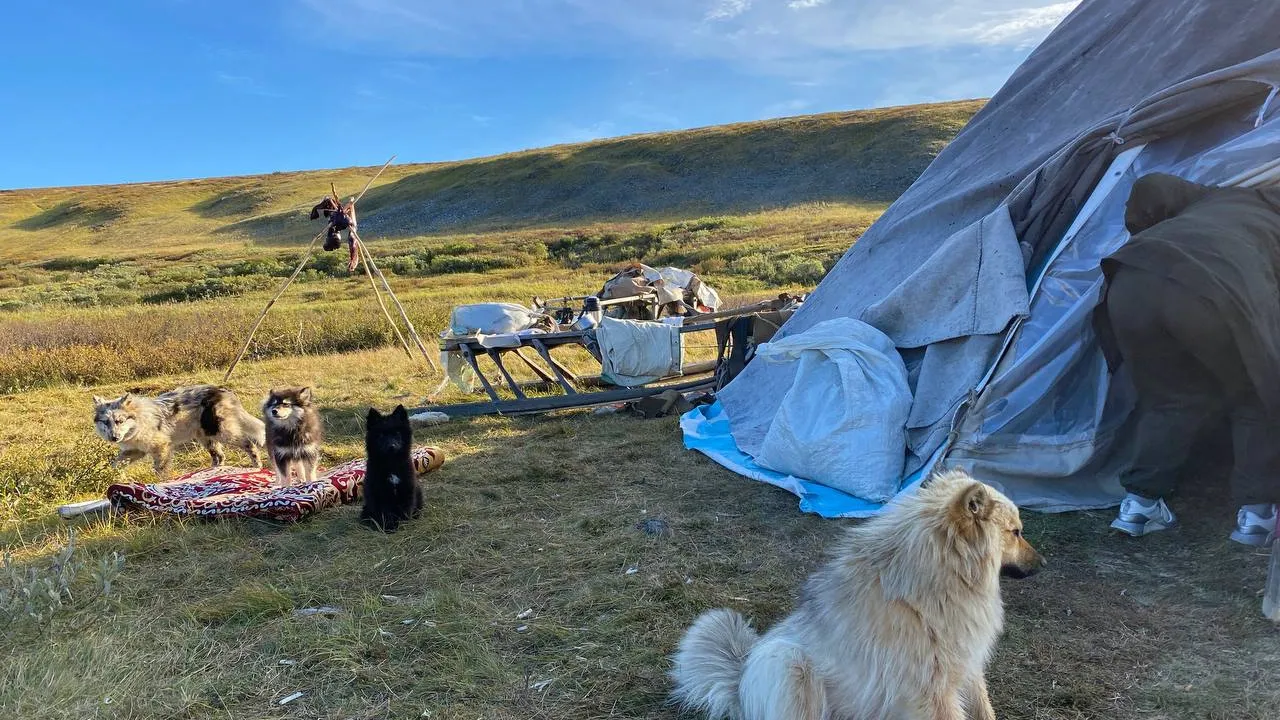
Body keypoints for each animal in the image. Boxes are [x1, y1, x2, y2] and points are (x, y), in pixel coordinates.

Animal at [94, 384, 267, 479]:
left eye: (120, 421)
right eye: (105, 422)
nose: (114, 437)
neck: (139, 422)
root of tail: (221, 390)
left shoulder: (162, 447)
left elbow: (160, 469)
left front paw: (163, 482)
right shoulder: (135, 450)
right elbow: (115, 464)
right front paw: (117, 477)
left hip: (220, 432)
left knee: (249, 443)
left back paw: (256, 465)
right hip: (206, 437)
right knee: (219, 456)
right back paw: (212, 471)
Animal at [670, 468, 1039, 712]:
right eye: (1016, 532)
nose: (1044, 563)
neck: (941, 577)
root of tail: (739, 679)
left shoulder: (968, 669)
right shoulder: (933, 691)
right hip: (789, 664)